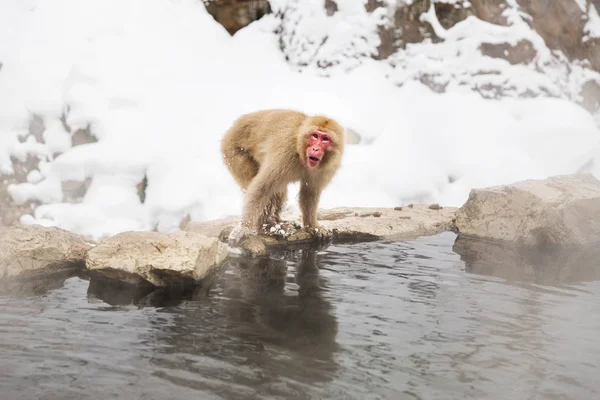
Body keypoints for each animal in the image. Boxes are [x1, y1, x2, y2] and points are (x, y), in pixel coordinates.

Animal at [220, 108, 344, 244]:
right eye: (315, 136)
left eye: (325, 138)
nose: (316, 149)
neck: (300, 149)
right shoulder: (285, 153)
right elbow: (261, 188)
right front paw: (243, 228)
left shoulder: (327, 168)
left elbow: (310, 192)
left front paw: (313, 226)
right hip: (233, 152)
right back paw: (267, 227)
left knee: (279, 191)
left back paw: (277, 222)